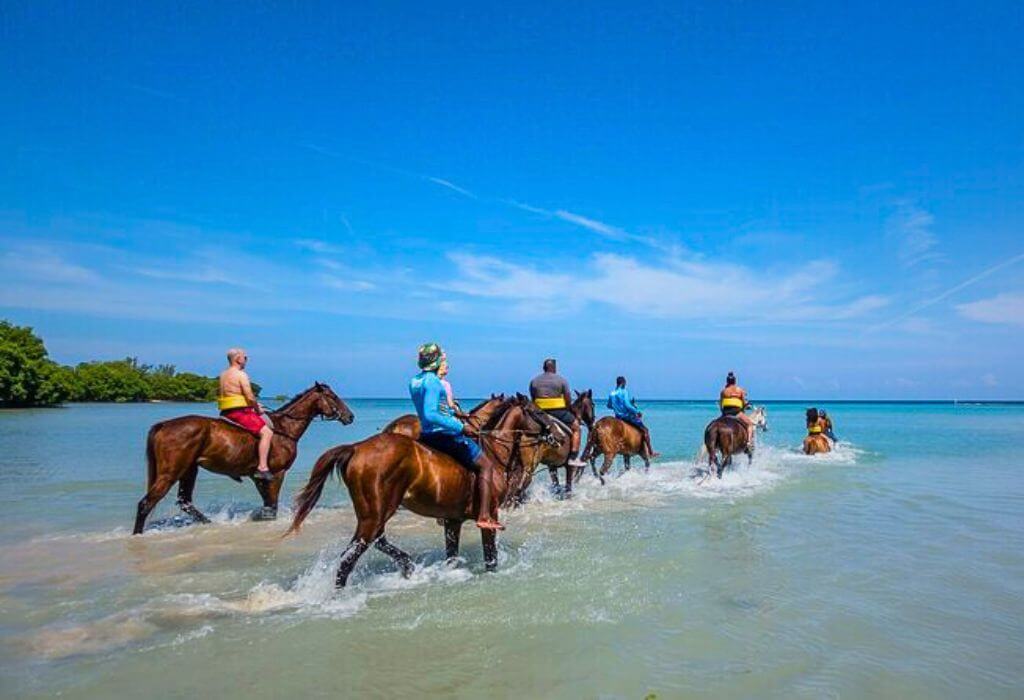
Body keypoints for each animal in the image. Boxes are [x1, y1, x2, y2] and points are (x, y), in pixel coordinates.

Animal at [134, 384, 354, 532]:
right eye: (333, 396)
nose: (350, 416)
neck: (283, 429)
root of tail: (164, 425)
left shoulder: (257, 478)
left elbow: (267, 506)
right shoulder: (277, 473)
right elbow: (272, 507)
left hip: (189, 470)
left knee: (185, 502)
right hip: (171, 472)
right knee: (146, 504)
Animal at [286, 392, 561, 585]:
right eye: (538, 411)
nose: (557, 434)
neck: (494, 451)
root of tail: (356, 447)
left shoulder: (452, 520)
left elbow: (452, 556)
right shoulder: (489, 516)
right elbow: (490, 558)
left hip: (374, 513)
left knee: (377, 540)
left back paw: (407, 565)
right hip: (375, 515)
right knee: (349, 558)